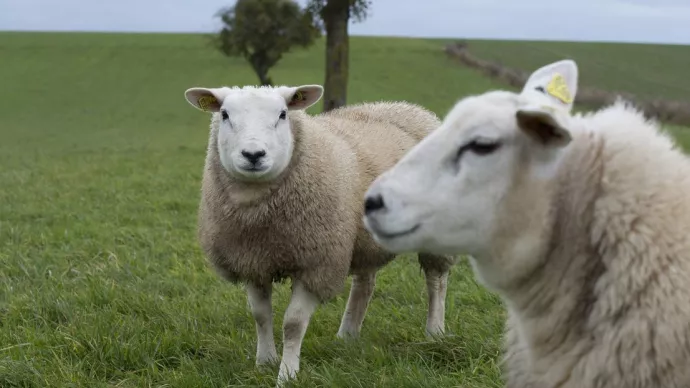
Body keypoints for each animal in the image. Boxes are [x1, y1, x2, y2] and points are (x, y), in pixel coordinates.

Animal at [181, 84, 456, 384]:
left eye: (283, 114)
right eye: (224, 115)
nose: (253, 154)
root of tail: (407, 107)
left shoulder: (317, 262)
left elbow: (293, 323)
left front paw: (287, 374)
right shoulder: (252, 260)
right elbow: (260, 315)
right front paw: (265, 362)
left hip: (437, 226)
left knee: (436, 280)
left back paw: (434, 332)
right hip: (361, 238)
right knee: (365, 282)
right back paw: (347, 335)